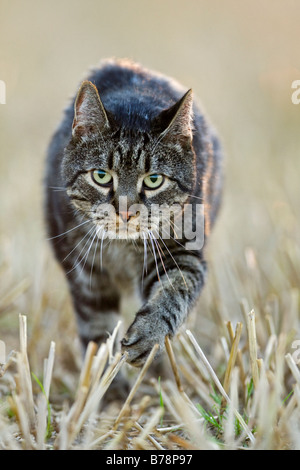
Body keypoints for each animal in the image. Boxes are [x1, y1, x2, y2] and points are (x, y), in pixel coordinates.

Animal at [44, 58, 223, 368]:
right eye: (101, 176)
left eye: (154, 180)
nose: (125, 212)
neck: (122, 248)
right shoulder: (86, 275)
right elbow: (97, 334)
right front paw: (106, 380)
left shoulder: (182, 252)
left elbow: (174, 292)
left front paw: (149, 336)